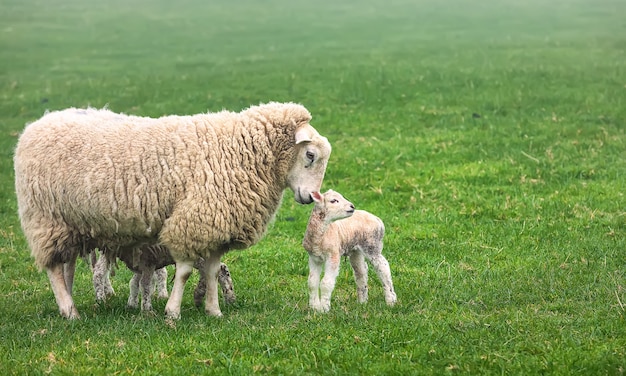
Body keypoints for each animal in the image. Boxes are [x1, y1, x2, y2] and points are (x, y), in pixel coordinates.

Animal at [13, 101, 332, 318]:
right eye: (310, 155)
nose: (309, 197)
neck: (239, 151)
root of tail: (36, 125)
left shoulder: (215, 226)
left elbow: (212, 270)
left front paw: (214, 311)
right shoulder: (193, 222)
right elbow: (186, 272)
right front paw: (173, 311)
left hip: (69, 222)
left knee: (65, 265)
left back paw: (68, 305)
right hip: (45, 218)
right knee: (54, 268)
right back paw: (70, 311)